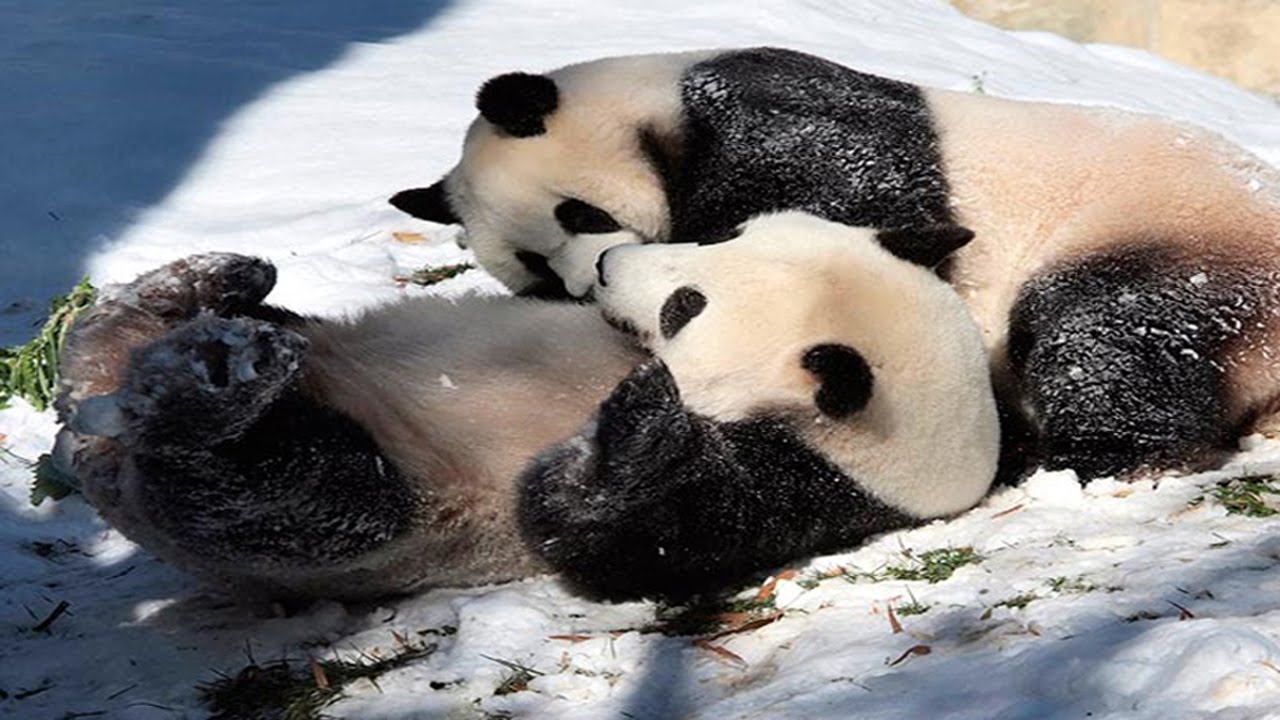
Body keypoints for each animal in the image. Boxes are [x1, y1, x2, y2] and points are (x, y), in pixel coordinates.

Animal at [53, 212, 997, 602]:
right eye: (723, 235)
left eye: (683, 307)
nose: (610, 264)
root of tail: (96, 429)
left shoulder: (788, 488)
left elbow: (586, 530)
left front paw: (637, 426)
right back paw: (211, 289)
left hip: (381, 516)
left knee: (297, 498)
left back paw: (213, 393)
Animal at [391, 47, 1280, 481]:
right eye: (535, 273)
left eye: (581, 214)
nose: (592, 275)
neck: (651, 105)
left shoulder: (770, 120)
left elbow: (856, 198)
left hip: (1168, 232)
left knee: (1106, 332)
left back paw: (1091, 453)